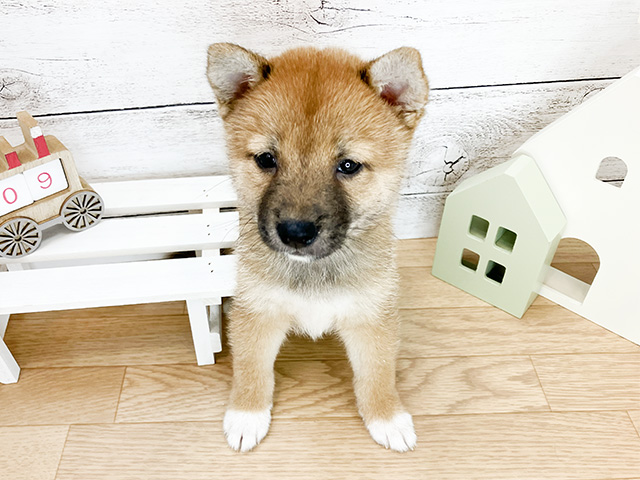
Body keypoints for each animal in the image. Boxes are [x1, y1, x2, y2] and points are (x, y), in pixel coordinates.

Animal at [208, 43, 428, 452]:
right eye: (266, 159)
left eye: (348, 165)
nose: (295, 232)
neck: (313, 270)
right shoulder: (257, 313)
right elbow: (251, 369)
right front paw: (247, 414)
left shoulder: (371, 318)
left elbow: (377, 373)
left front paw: (387, 417)